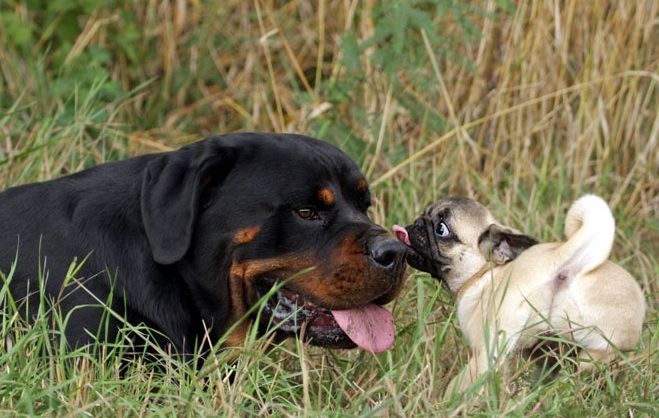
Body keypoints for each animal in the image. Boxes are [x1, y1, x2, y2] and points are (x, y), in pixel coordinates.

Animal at [394, 196, 648, 396]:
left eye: (441, 229)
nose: (417, 222)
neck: (485, 272)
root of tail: (561, 259)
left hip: (492, 344)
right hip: (589, 351)